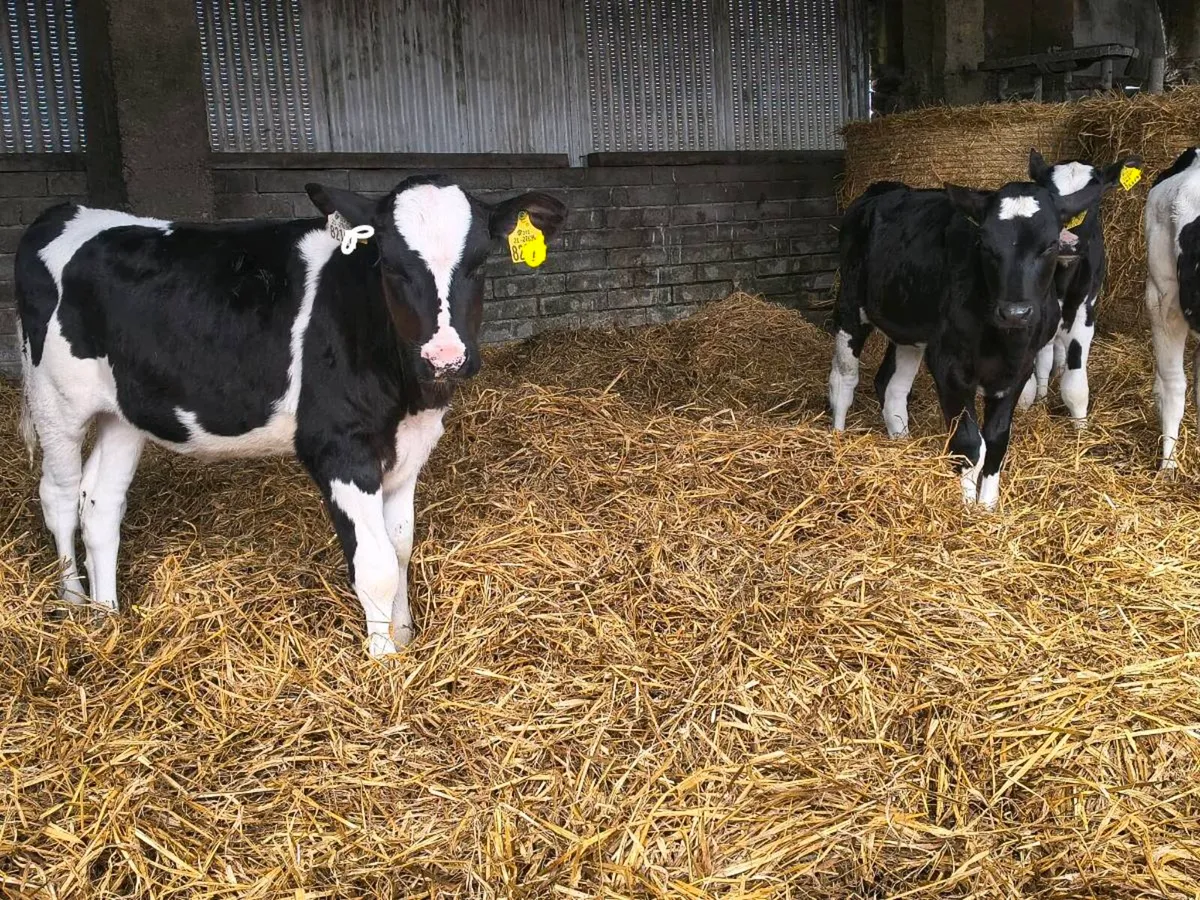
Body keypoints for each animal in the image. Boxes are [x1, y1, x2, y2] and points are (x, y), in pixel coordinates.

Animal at [15, 176, 565, 657]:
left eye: (479, 261)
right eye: (389, 265)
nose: (445, 357)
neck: (408, 397)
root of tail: (67, 211)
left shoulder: (410, 445)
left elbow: (401, 547)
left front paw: (405, 636)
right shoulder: (339, 447)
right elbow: (376, 565)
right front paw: (385, 661)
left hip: (126, 413)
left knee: (99, 503)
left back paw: (106, 617)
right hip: (56, 401)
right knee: (59, 496)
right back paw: (71, 603)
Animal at [829, 169, 1103, 509]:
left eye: (1051, 244)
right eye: (984, 244)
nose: (1015, 312)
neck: (1004, 343)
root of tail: (883, 189)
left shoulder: (1019, 369)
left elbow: (997, 441)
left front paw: (988, 506)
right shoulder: (949, 366)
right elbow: (970, 443)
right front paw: (967, 506)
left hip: (911, 330)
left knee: (891, 386)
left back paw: (901, 441)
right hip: (850, 305)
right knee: (844, 379)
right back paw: (838, 437)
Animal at [1018, 150, 1142, 424]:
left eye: (1094, 198)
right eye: (1047, 196)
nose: (1066, 243)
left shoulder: (1084, 318)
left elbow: (1075, 386)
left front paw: (1081, 427)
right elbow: (1025, 384)